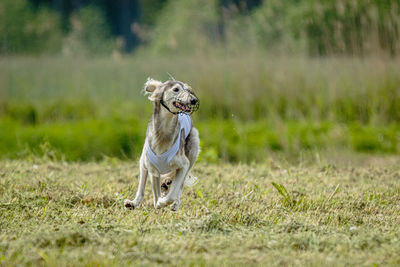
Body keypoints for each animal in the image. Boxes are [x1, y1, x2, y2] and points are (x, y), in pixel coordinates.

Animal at [122, 78, 199, 213]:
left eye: (189, 90)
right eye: (176, 89)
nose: (193, 100)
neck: (164, 132)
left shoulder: (184, 164)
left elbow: (173, 193)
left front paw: (163, 201)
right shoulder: (153, 169)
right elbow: (155, 195)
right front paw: (159, 202)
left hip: (193, 149)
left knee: (179, 186)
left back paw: (174, 203)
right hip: (143, 161)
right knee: (141, 189)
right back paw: (133, 203)